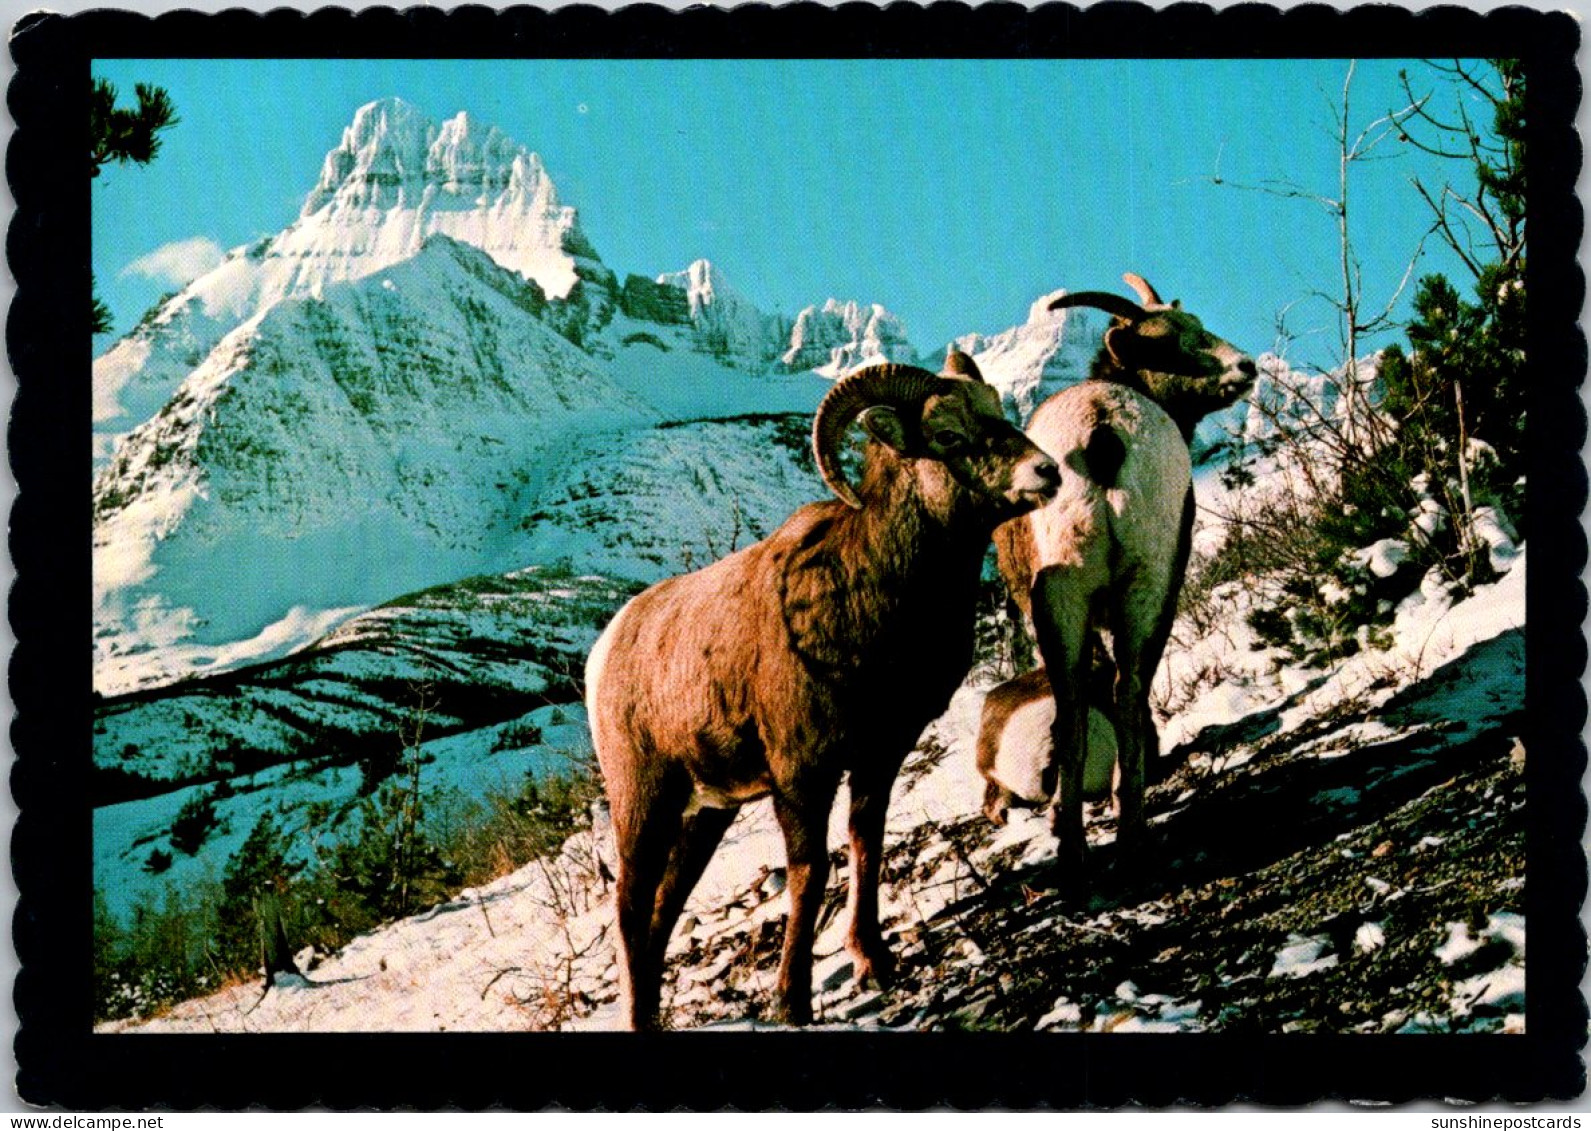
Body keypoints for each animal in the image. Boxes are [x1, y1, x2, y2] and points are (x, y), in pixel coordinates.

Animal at [585, 349, 1056, 1030]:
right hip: (643, 802)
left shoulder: (880, 755)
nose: (1047, 472)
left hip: (708, 813)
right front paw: (793, 999)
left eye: (997, 410)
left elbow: (866, 843)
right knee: (629, 904)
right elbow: (809, 874)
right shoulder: (802, 776)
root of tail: (604, 653)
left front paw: (873, 960)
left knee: (664, 906)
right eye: (947, 436)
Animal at [992, 273, 1253, 878]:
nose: (1245, 367)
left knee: (1084, 702)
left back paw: (1079, 843)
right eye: (1170, 341)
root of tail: (1104, 430)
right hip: (1144, 589)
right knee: (1123, 693)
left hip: (1072, 599)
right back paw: (1126, 834)